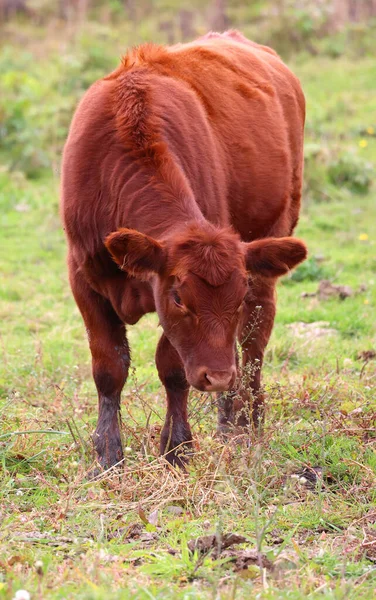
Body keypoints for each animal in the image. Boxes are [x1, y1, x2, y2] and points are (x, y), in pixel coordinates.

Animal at [61, 29, 306, 468]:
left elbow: (172, 368)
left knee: (252, 344)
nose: (217, 376)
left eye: (236, 295)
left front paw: (177, 448)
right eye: (179, 297)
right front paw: (107, 453)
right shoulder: (83, 277)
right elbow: (108, 367)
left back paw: (245, 423)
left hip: (271, 248)